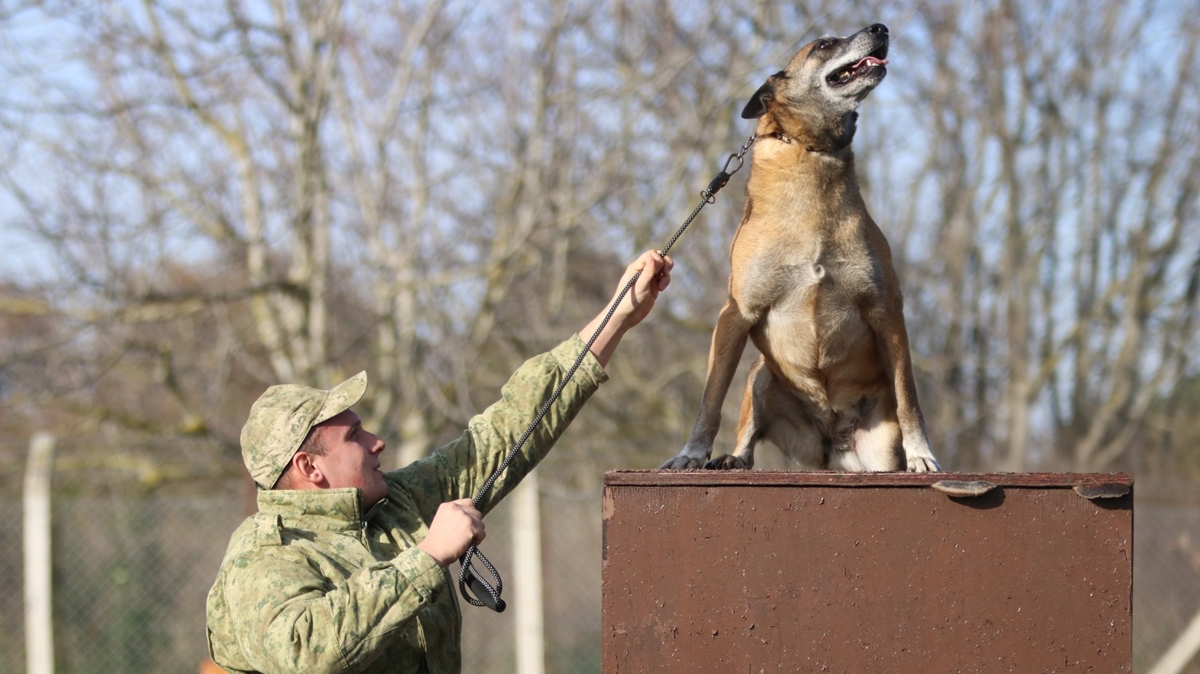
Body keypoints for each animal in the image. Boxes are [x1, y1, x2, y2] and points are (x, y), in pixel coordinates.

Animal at [662, 23, 940, 470]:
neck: (813, 152)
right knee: (748, 438)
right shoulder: (735, 314)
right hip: (759, 374)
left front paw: (922, 455)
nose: (880, 27)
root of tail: (829, 443)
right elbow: (711, 398)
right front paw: (691, 453)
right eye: (825, 44)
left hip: (875, 448)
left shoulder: (887, 311)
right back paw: (732, 459)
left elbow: (908, 396)